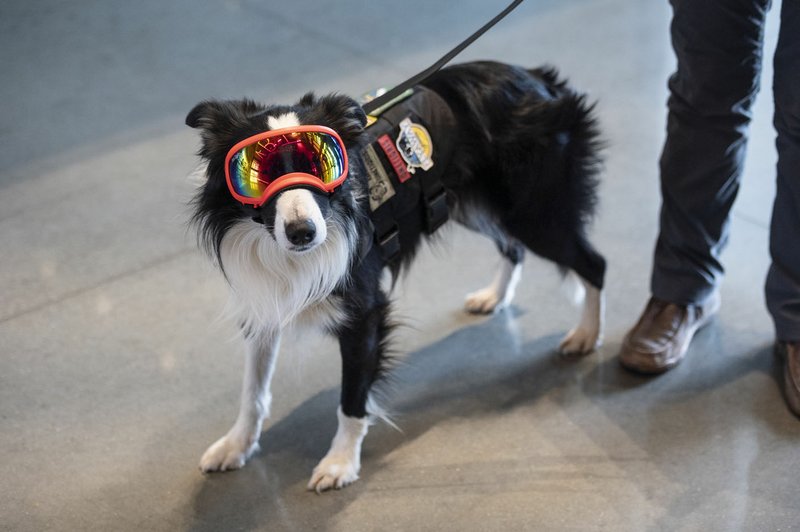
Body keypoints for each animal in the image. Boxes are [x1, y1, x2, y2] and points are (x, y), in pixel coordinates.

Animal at [184, 60, 604, 492]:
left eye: (322, 166)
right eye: (258, 175)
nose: (303, 232)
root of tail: (538, 76)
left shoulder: (364, 311)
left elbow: (352, 397)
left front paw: (340, 462)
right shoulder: (263, 300)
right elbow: (252, 390)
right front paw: (236, 445)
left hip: (536, 212)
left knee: (594, 264)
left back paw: (586, 335)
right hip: (476, 205)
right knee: (513, 247)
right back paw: (495, 297)